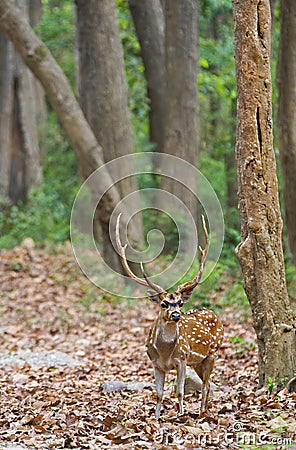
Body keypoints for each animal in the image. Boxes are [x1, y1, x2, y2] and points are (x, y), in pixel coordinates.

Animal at [115, 214, 222, 418]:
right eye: (163, 303)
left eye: (180, 303)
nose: (176, 315)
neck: (164, 353)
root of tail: (213, 313)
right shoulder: (155, 363)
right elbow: (158, 394)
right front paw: (156, 418)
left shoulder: (182, 359)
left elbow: (179, 391)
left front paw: (180, 415)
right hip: (197, 361)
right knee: (207, 384)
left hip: (212, 353)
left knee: (206, 385)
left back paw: (202, 413)